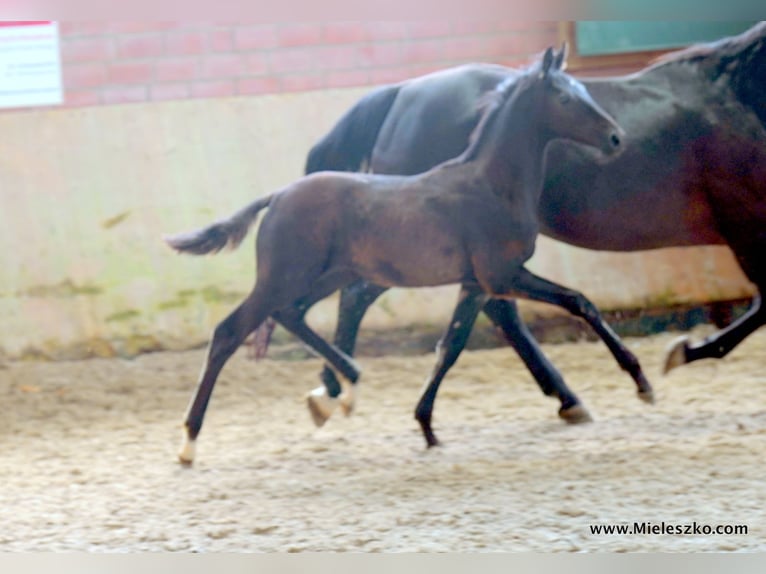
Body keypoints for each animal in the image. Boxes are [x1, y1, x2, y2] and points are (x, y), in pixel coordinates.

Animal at [164, 48, 636, 464]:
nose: (617, 138)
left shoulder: (475, 283)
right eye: (565, 97)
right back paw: (189, 443)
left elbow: (452, 345)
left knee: (291, 314)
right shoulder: (502, 275)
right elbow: (578, 301)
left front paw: (427, 428)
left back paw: (347, 386)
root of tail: (277, 195)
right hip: (285, 276)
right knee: (230, 331)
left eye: (583, 89)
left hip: (326, 275)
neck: (489, 184)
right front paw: (640, 380)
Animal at [296, 22, 766, 426]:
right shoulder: (747, 228)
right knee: (366, 295)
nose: (616, 138)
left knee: (486, 310)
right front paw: (681, 354)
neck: (737, 100)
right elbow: (762, 308)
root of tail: (400, 94)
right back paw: (335, 386)